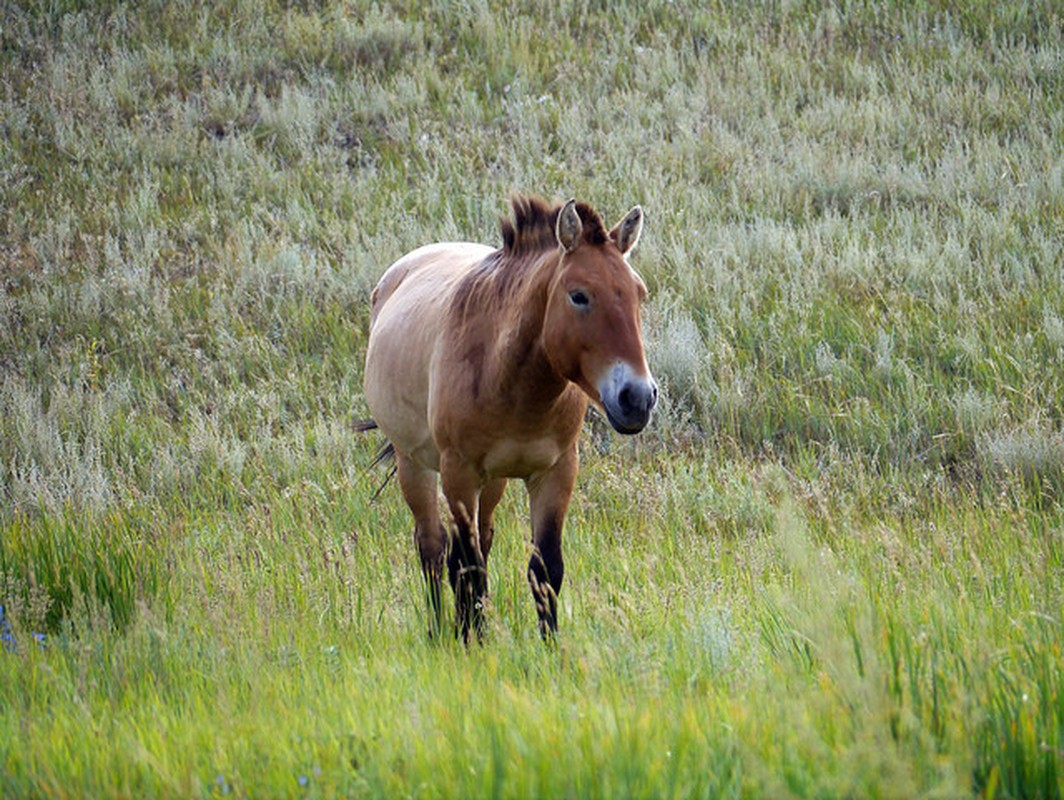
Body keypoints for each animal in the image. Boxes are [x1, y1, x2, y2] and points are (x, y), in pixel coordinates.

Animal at [363, 196, 655, 642]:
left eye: (639, 293)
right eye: (579, 296)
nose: (637, 398)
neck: (510, 379)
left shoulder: (556, 472)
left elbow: (545, 569)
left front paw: (549, 647)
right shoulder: (459, 474)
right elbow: (466, 568)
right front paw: (469, 644)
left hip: (494, 482)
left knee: (480, 541)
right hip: (413, 464)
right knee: (432, 548)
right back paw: (437, 631)